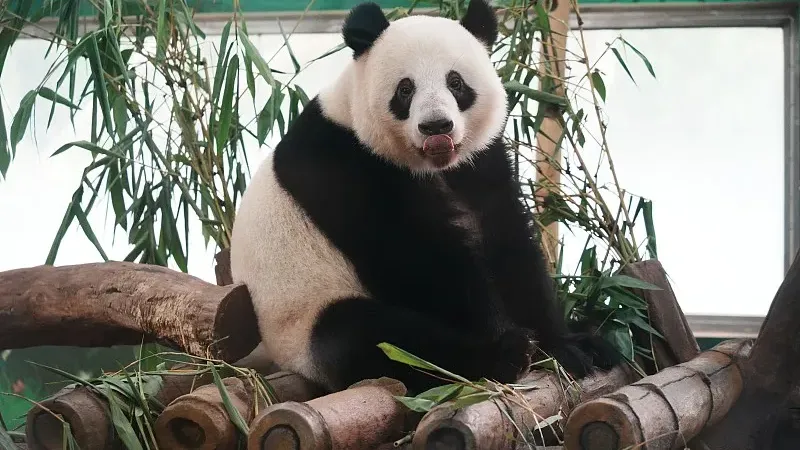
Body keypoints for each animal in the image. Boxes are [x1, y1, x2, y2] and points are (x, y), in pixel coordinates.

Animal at [230, 0, 619, 395]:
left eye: (455, 82)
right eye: (405, 89)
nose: (436, 127)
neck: (432, 166)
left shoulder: (480, 163)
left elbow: (507, 242)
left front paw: (567, 345)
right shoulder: (344, 166)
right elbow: (417, 261)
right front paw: (509, 335)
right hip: (304, 315)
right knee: (371, 338)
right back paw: (502, 355)